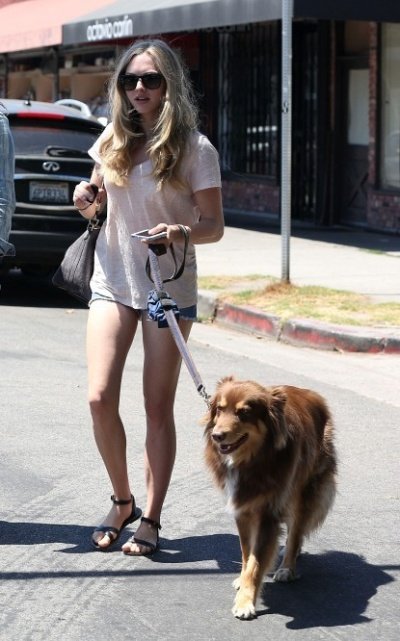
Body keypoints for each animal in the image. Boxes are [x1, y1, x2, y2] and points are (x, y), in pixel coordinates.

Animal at [203, 376, 337, 620]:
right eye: (220, 409)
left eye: (244, 413)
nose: (217, 436)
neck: (253, 459)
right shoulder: (243, 510)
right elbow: (247, 554)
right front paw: (243, 580)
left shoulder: (268, 513)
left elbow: (256, 562)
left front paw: (245, 602)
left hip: (303, 490)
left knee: (296, 532)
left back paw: (287, 568)